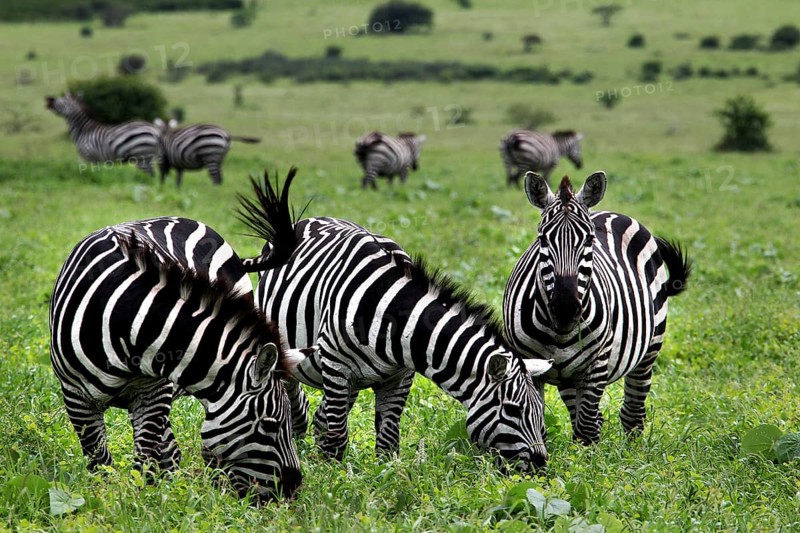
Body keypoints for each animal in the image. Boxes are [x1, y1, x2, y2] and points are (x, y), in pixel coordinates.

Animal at [49, 217, 305, 502]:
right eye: (270, 425)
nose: (294, 489)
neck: (128, 319)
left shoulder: (153, 392)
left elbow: (146, 456)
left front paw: (143, 501)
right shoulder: (76, 397)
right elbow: (98, 461)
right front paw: (105, 499)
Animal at [236, 168, 554, 470]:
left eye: (539, 413)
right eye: (513, 410)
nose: (540, 465)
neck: (391, 319)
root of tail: (313, 218)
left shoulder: (400, 375)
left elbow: (388, 440)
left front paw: (386, 477)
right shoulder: (337, 365)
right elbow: (337, 437)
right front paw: (332, 478)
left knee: (321, 418)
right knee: (301, 403)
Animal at [503, 171, 691, 445]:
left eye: (590, 239)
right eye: (542, 239)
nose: (566, 308)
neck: (560, 331)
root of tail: (611, 213)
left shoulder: (598, 363)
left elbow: (587, 431)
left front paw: (587, 458)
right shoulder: (530, 364)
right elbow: (539, 424)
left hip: (650, 348)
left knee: (632, 412)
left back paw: (633, 450)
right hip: (570, 376)